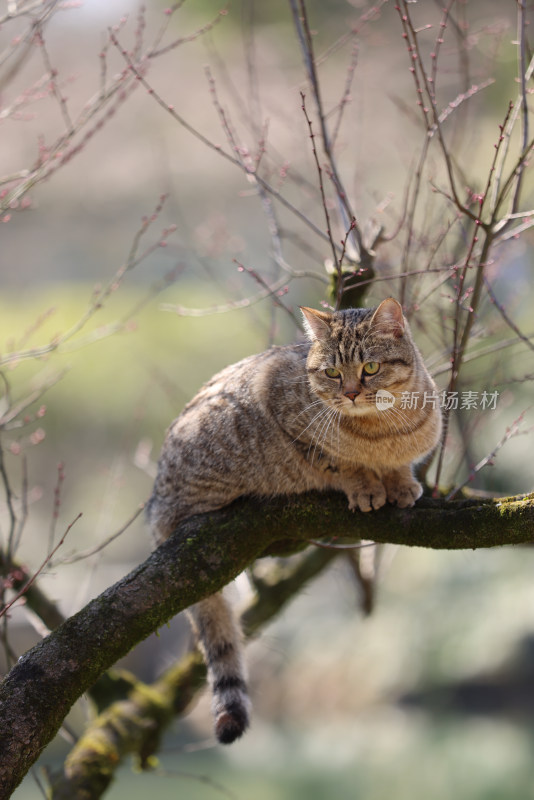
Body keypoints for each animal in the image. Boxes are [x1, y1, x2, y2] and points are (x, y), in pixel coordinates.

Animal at [147, 296, 444, 748]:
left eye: (371, 367)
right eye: (332, 373)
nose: (351, 393)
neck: (382, 430)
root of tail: (155, 512)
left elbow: (397, 467)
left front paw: (400, 483)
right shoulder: (283, 410)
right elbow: (339, 464)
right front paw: (365, 485)